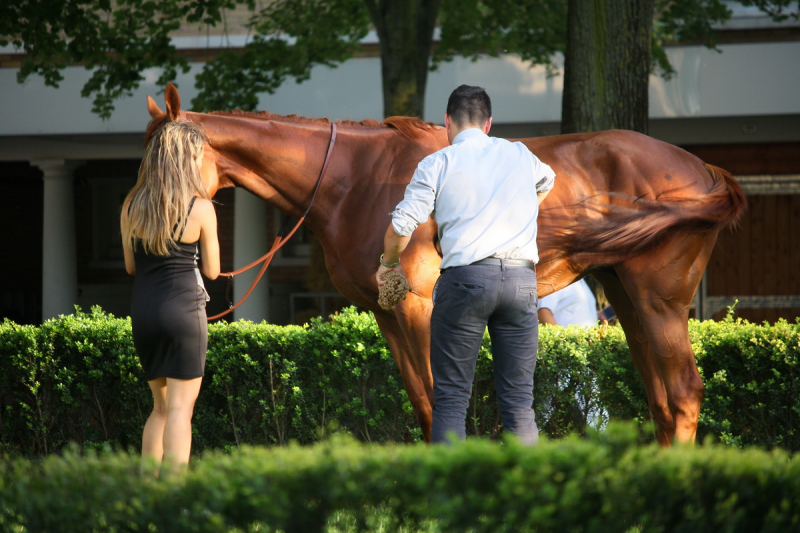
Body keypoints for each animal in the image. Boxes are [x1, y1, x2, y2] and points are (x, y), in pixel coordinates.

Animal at [147, 83, 748, 442]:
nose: (152, 229)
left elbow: (441, 403)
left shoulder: (421, 306)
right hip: (625, 293)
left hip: (659, 298)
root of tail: (705, 171)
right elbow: (422, 403)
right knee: (661, 398)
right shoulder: (387, 312)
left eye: (169, 159)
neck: (352, 177)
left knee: (683, 392)